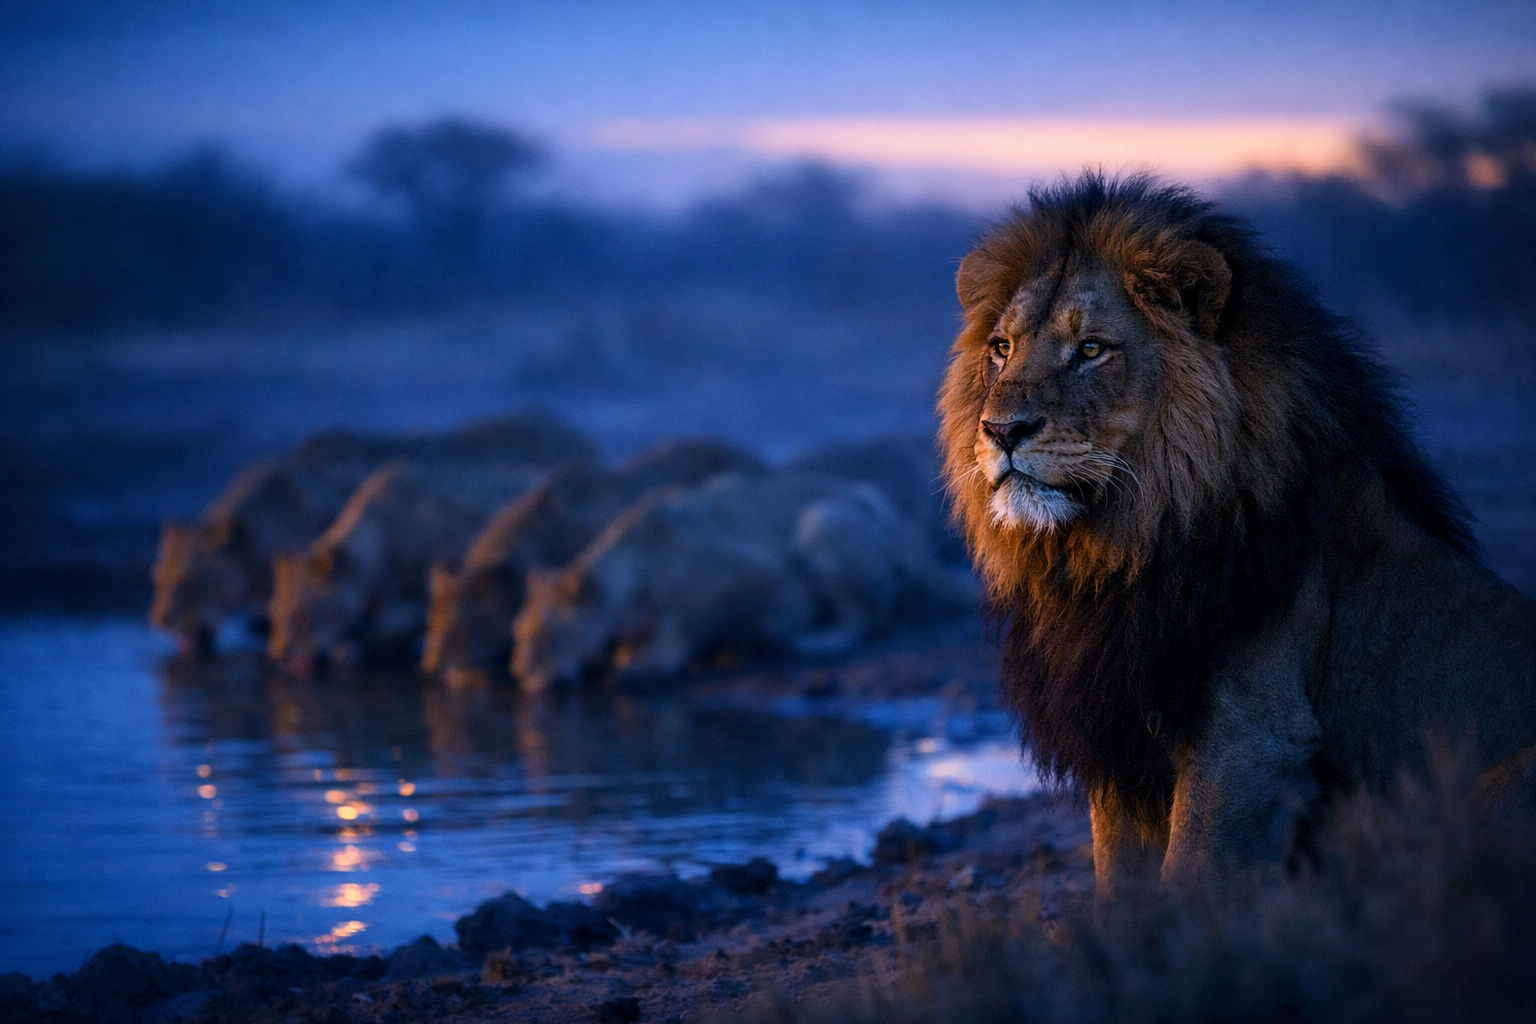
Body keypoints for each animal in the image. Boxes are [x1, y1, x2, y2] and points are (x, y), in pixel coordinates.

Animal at [511, 473, 977, 692]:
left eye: (543, 636)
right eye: (520, 634)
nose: (517, 673)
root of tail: (899, 520)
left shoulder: (732, 578)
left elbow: (683, 625)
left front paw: (644, 663)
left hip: (821, 519)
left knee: (870, 616)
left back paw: (814, 640)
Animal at [937, 173, 1536, 896]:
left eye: (1091, 350)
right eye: (1001, 348)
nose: (1001, 431)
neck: (1118, 556)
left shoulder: (1250, 739)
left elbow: (1188, 880)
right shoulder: (1119, 738)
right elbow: (1120, 884)